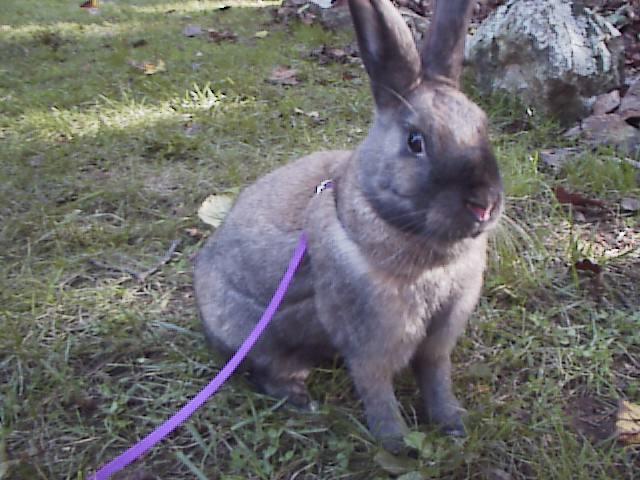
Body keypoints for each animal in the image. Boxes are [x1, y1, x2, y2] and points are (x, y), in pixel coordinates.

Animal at [194, 0, 503, 452]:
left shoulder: (439, 335)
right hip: (258, 337)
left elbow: (436, 377)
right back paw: (299, 399)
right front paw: (397, 443)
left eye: (484, 125)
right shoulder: (373, 338)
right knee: (266, 370)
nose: (483, 204)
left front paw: (452, 424)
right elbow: (376, 388)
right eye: (415, 141)